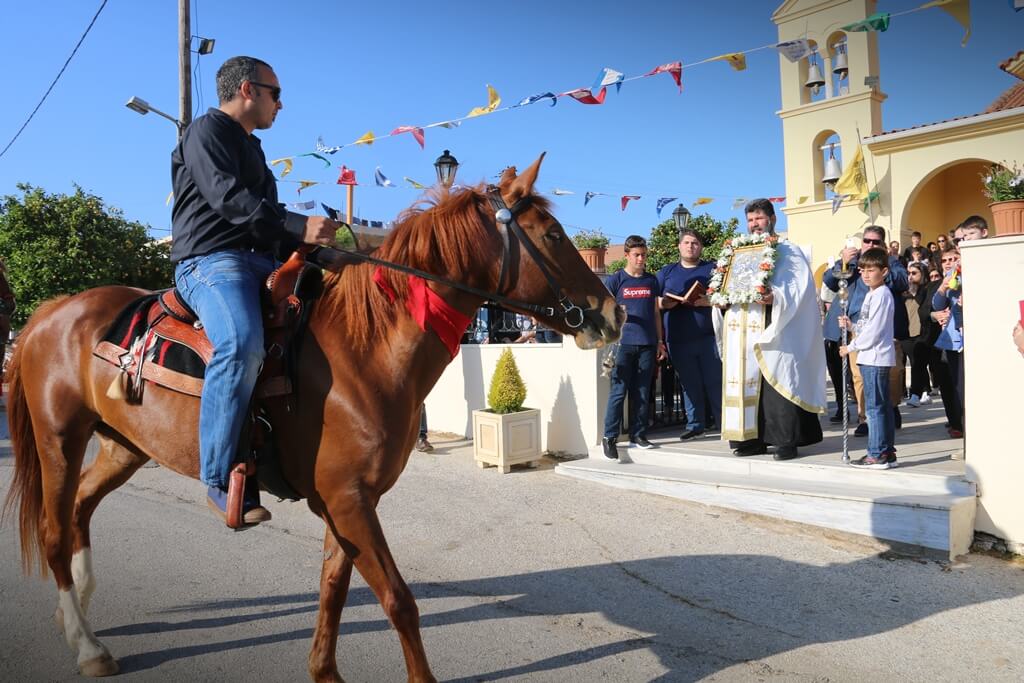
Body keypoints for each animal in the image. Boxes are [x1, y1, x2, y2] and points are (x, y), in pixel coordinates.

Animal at [4, 156, 618, 683]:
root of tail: (51, 311)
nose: (613, 313)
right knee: (54, 530)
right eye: (551, 235)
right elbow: (399, 601)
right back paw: (86, 645)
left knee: (80, 510)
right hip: (60, 439)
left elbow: (333, 589)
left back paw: (77, 614)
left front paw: (325, 671)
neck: (361, 349)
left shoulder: (346, 500)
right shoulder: (348, 500)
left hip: (122, 446)